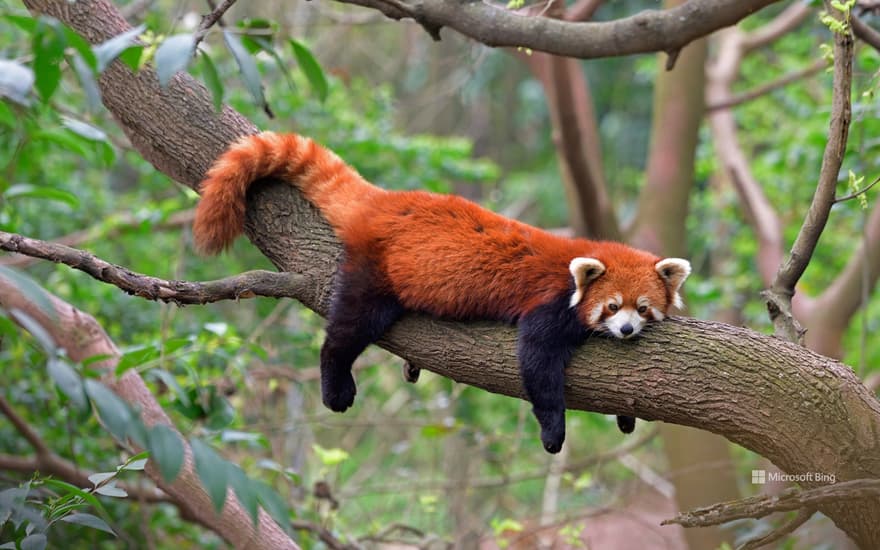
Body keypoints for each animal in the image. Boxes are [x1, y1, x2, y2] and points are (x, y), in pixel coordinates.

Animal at [191, 132, 688, 454]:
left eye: (643, 308)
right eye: (611, 306)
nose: (626, 331)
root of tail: (384, 201)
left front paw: (626, 416)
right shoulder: (549, 305)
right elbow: (537, 362)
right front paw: (553, 434)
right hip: (376, 272)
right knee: (348, 328)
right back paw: (336, 384)